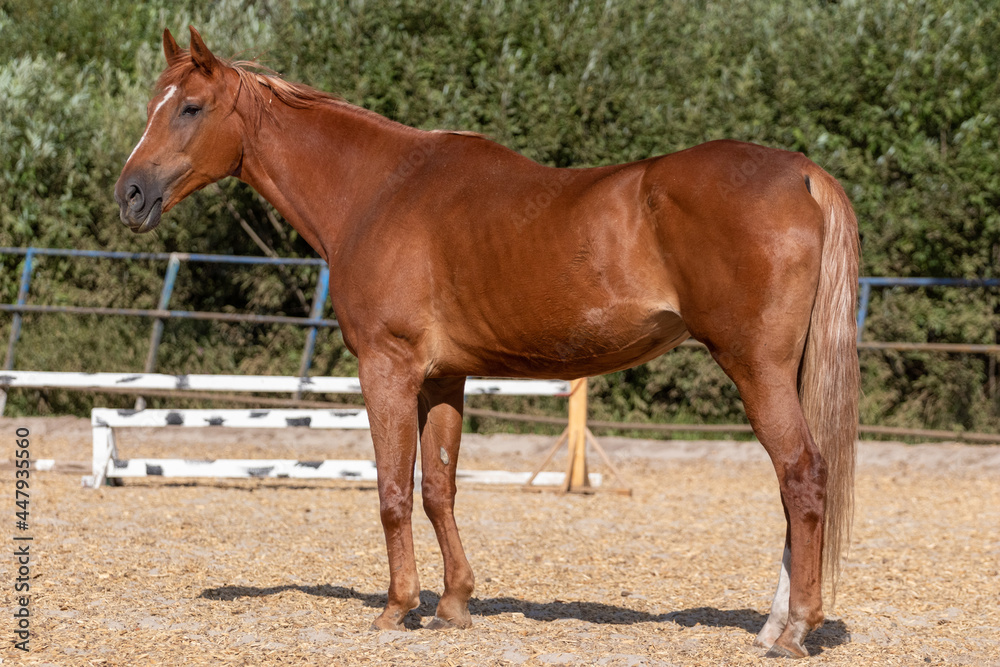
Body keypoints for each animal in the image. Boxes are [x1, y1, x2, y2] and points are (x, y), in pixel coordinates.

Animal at [113, 28, 856, 660]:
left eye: (192, 108)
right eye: (154, 106)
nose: (130, 194)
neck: (376, 191)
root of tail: (801, 172)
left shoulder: (386, 368)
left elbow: (392, 488)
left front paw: (398, 607)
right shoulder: (445, 378)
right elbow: (439, 487)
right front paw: (453, 604)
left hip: (755, 368)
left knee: (801, 474)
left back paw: (794, 628)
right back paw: (774, 624)